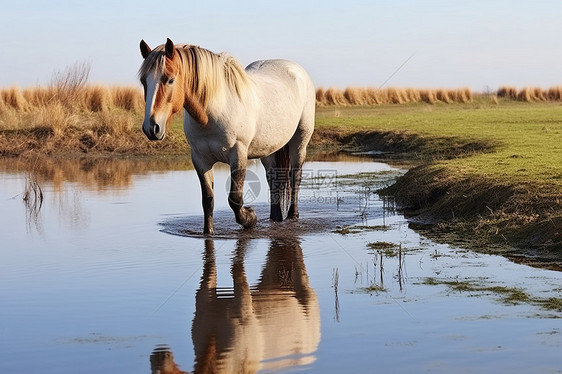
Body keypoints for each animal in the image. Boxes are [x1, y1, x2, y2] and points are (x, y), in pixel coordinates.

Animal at [137, 39, 312, 235]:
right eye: (144, 81)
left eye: (170, 80)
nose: (151, 128)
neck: (213, 112)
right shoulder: (200, 159)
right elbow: (208, 200)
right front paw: (209, 232)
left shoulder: (238, 155)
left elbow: (234, 198)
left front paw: (250, 218)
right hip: (268, 149)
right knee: (273, 178)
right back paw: (275, 218)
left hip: (299, 142)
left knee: (295, 176)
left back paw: (292, 215)